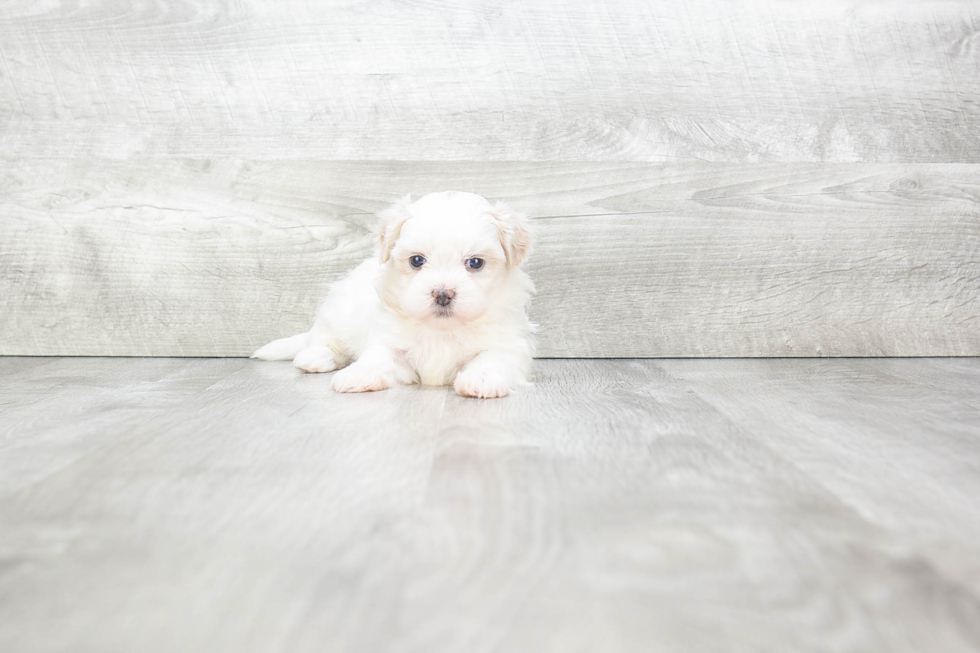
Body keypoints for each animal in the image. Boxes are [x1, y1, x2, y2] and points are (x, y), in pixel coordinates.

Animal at [249, 190, 532, 398]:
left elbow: (492, 359)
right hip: (339, 311)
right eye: (417, 260)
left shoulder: (507, 344)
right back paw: (315, 356)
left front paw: (481, 379)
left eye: (475, 263)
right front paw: (358, 374)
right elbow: (378, 357)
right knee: (323, 338)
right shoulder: (389, 340)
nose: (442, 294)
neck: (442, 329)